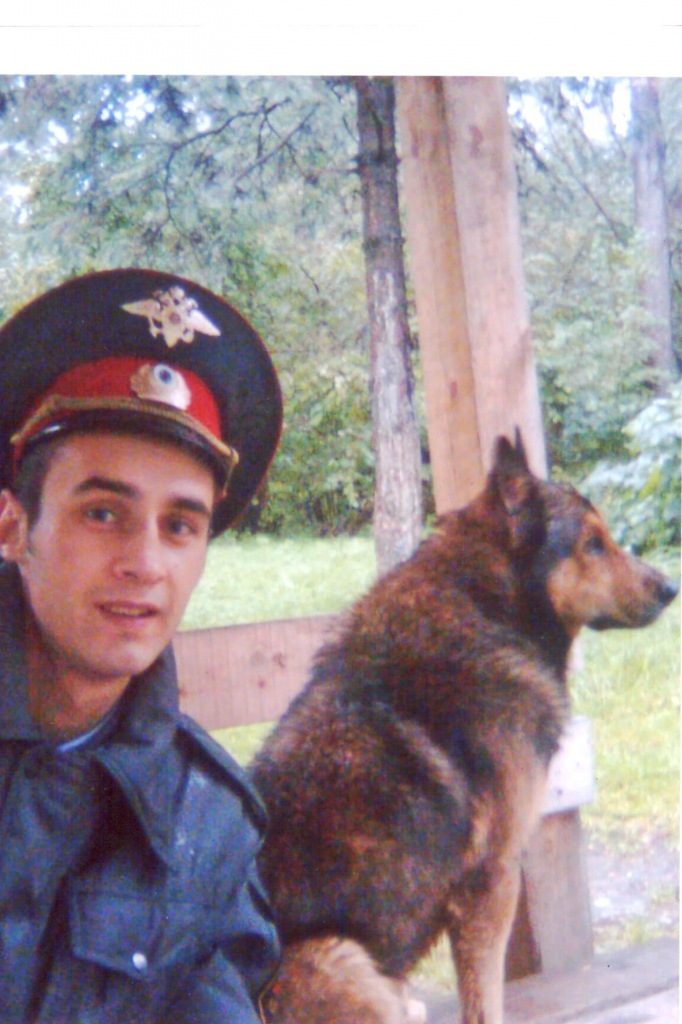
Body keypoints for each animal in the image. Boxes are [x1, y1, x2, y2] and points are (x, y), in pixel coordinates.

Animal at [251, 433, 678, 1024]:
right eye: (592, 545)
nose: (670, 588)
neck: (489, 610)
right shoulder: (491, 884)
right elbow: (484, 1001)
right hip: (336, 958)